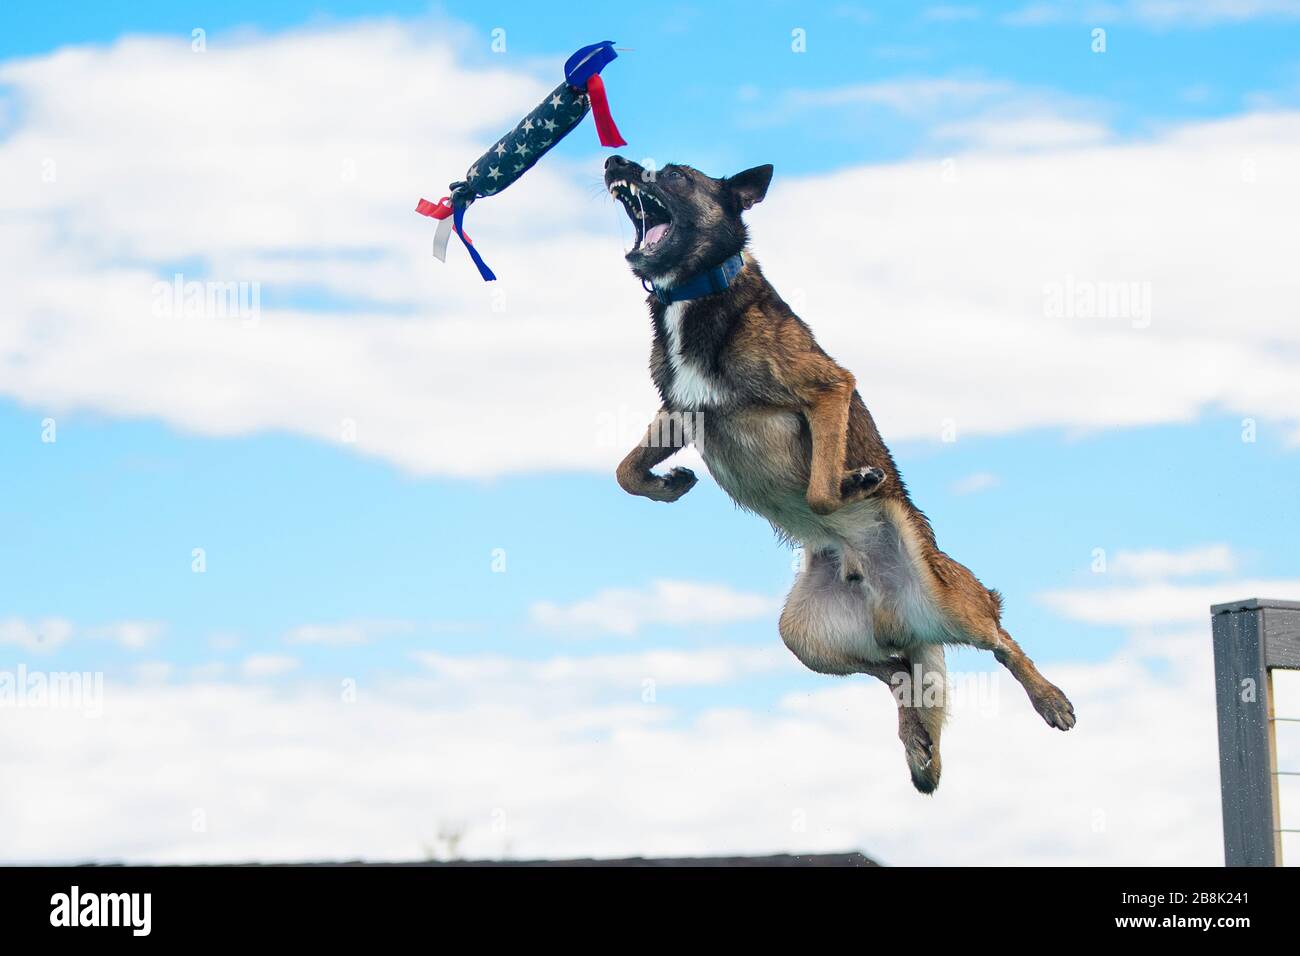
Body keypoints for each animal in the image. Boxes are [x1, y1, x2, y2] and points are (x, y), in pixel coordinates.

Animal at [603, 155, 1071, 790]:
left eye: (675, 174)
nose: (614, 160)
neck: (705, 290)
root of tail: (897, 614)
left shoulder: (829, 388)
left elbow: (821, 491)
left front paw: (857, 482)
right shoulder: (680, 412)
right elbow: (626, 470)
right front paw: (667, 484)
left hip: (952, 599)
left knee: (1000, 639)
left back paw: (1049, 699)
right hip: (802, 636)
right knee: (897, 670)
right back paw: (916, 739)